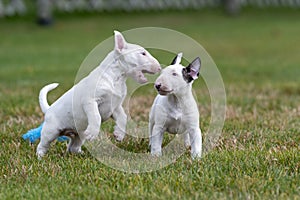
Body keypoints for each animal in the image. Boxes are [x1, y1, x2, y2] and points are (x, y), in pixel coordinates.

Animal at [36, 30, 162, 158]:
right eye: (143, 53)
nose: (159, 67)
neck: (116, 78)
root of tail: (49, 109)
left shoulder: (115, 106)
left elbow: (123, 117)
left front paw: (119, 135)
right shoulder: (90, 101)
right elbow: (96, 116)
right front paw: (92, 133)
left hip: (79, 135)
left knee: (72, 147)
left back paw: (80, 153)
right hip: (51, 131)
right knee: (42, 144)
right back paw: (40, 157)